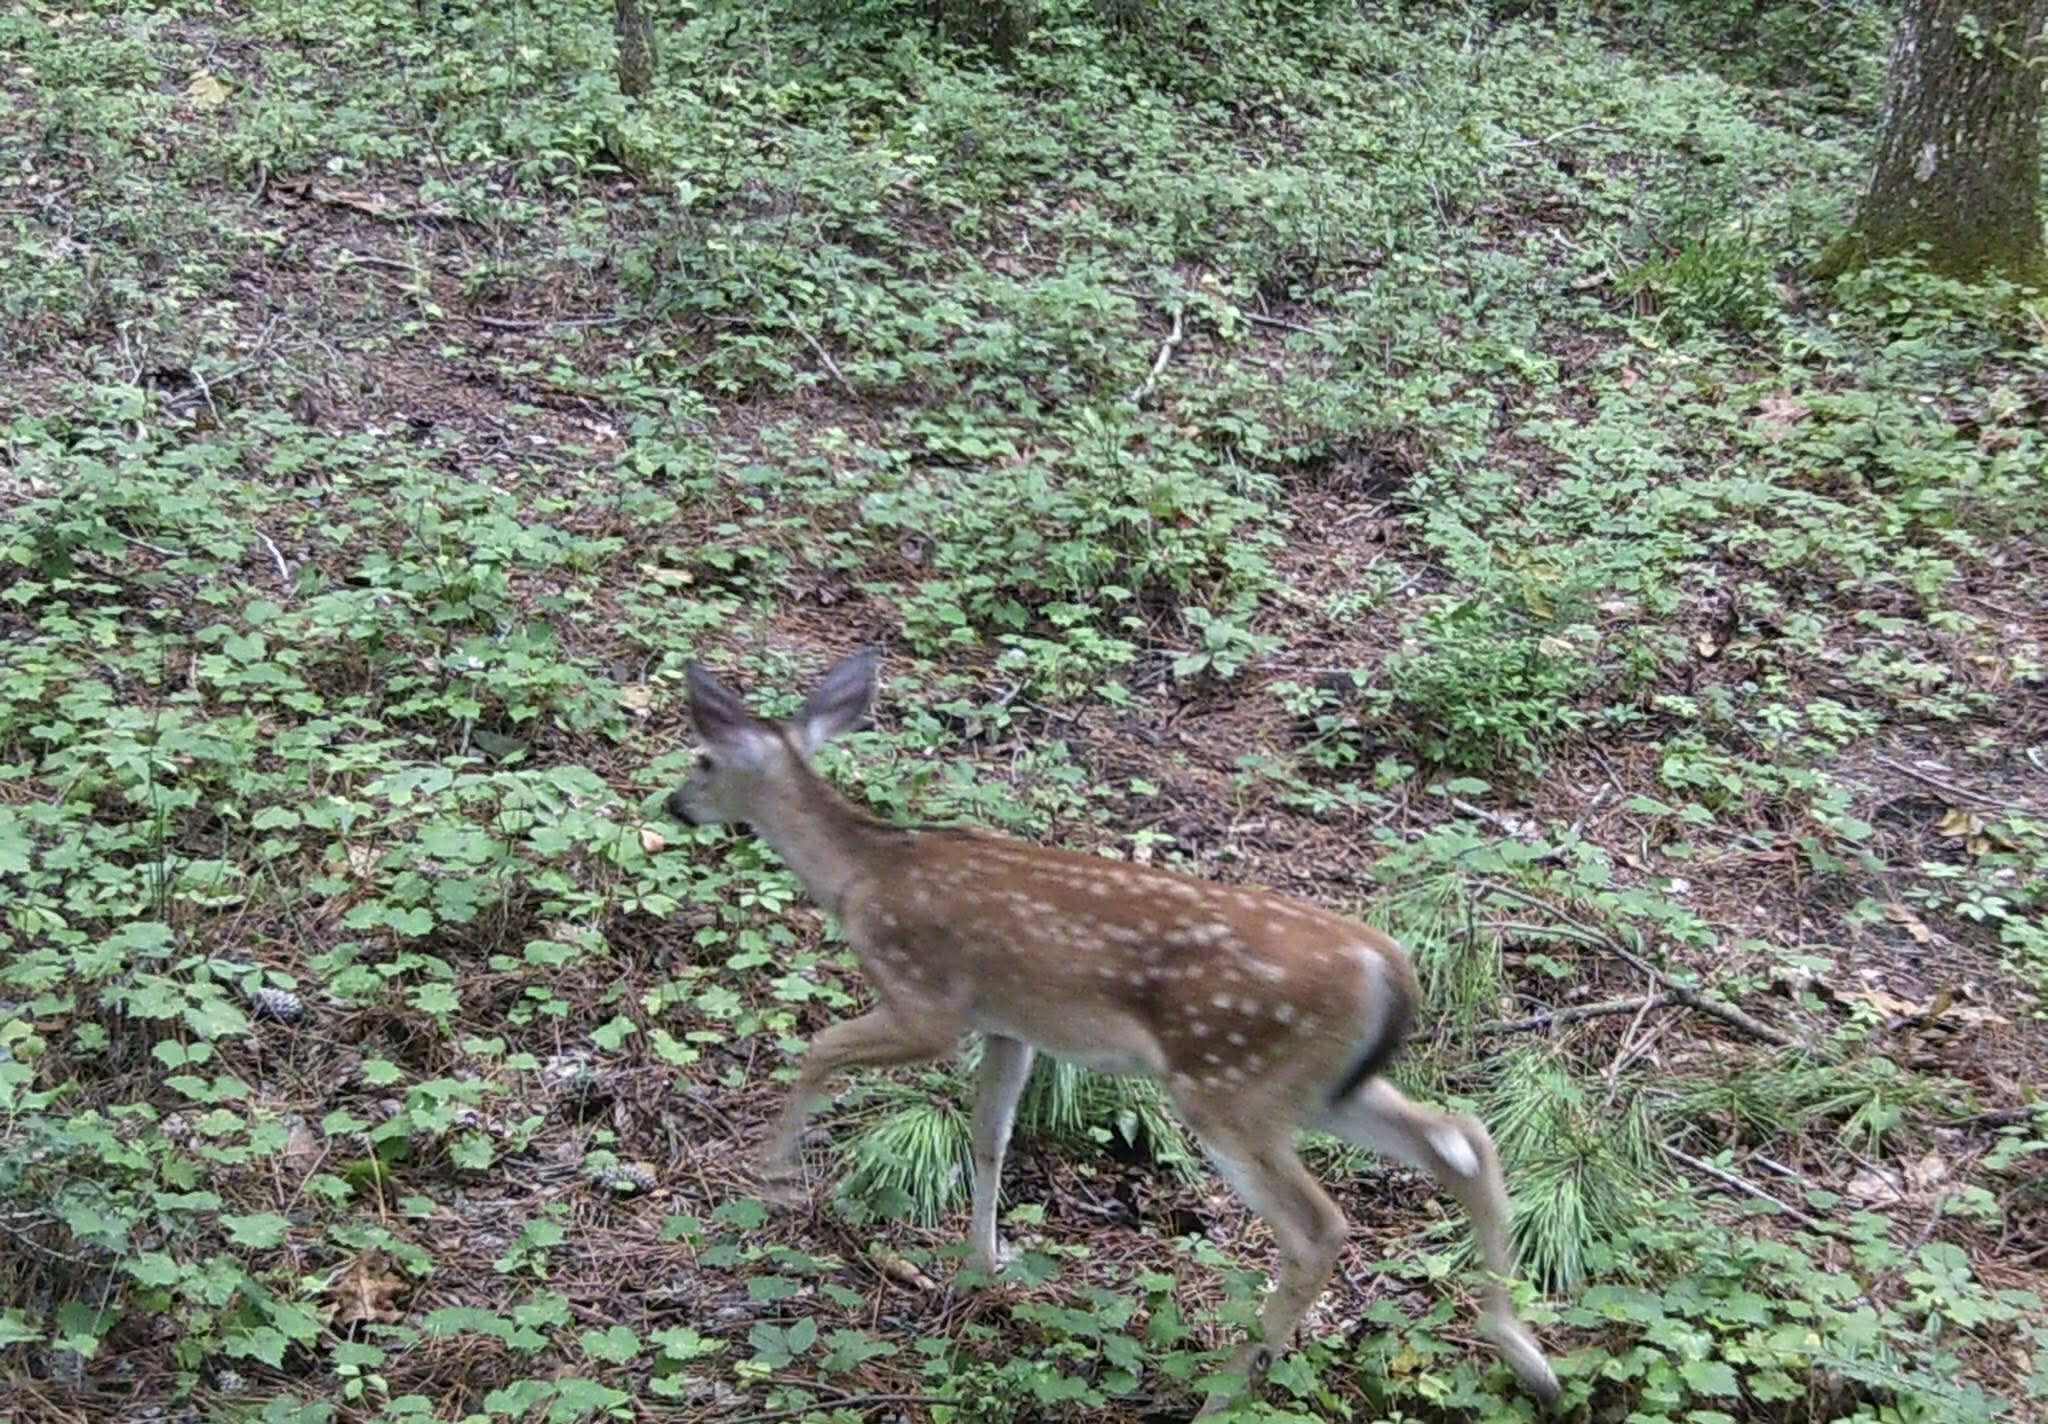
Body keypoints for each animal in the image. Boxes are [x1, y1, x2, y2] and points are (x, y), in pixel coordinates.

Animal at [664, 648, 1562, 1417]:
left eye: (703, 758)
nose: (674, 805)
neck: (860, 876)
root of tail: (1389, 966)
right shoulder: (1010, 1026)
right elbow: (989, 1135)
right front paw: (980, 1268)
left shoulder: (929, 1004)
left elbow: (820, 1051)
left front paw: (772, 1178)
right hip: (1321, 1085)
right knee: (1462, 1137)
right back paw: (1526, 1356)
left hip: (1227, 1079)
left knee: (1321, 1226)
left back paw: (1225, 1389)